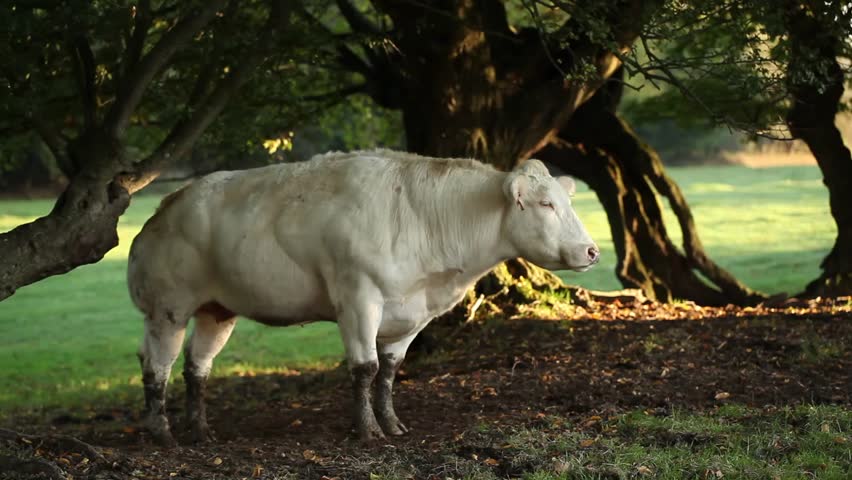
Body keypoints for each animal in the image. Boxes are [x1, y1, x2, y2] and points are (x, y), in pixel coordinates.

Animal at [127, 149, 599, 446]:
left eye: (564, 201)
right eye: (545, 205)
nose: (593, 251)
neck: (423, 218)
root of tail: (168, 206)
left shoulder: (409, 314)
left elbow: (388, 372)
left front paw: (392, 423)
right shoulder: (358, 300)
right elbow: (364, 368)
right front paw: (367, 430)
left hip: (217, 310)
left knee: (196, 367)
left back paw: (200, 430)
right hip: (167, 308)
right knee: (156, 365)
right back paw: (161, 432)